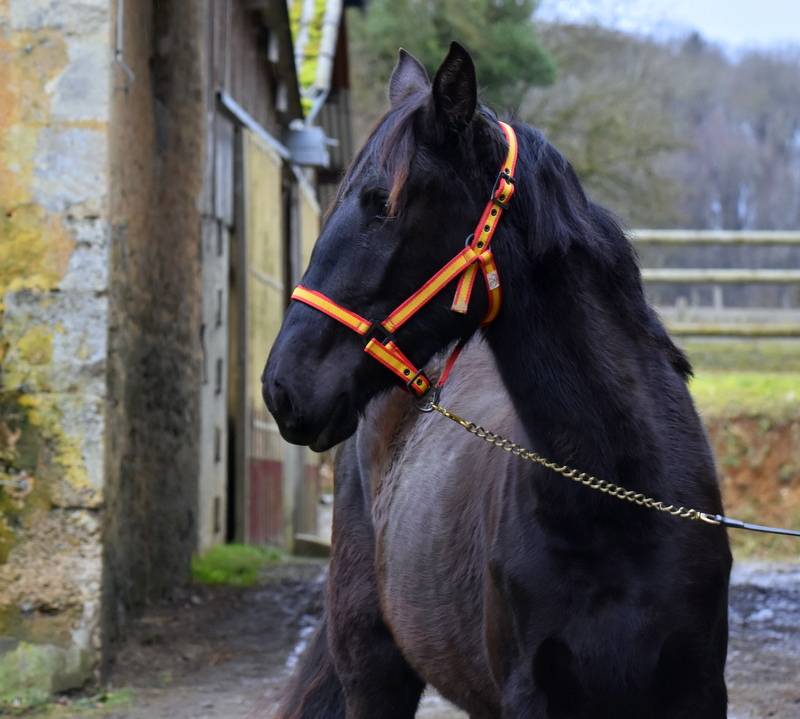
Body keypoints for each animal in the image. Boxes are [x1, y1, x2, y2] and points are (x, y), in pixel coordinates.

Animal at [263, 43, 731, 718]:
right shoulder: (528, 694)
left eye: (381, 202)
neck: (620, 501)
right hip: (374, 670)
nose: (282, 387)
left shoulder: (699, 691)